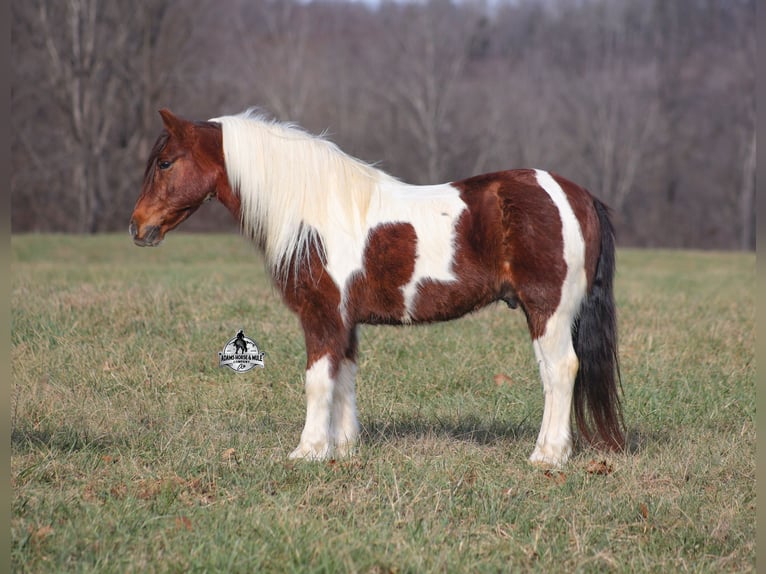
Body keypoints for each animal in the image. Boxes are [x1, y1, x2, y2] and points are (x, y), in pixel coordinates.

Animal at [129, 108, 624, 467]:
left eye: (166, 162)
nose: (137, 227)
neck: (314, 212)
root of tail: (576, 195)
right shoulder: (346, 322)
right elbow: (344, 378)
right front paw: (345, 448)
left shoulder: (322, 316)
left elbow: (317, 381)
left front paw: (308, 451)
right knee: (551, 375)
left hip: (548, 310)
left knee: (561, 370)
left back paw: (549, 457)